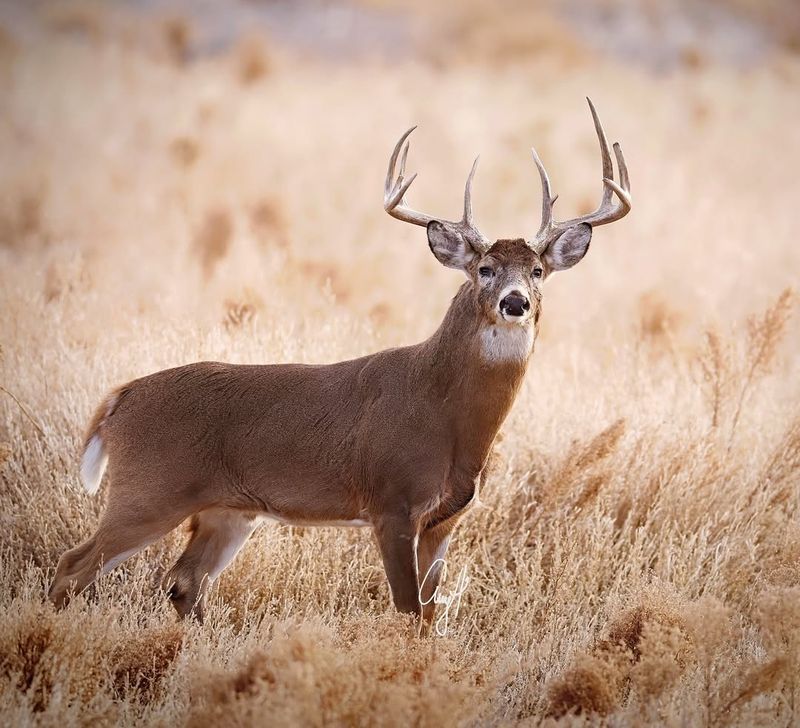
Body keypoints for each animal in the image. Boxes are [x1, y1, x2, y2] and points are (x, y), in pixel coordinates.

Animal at [48, 99, 632, 628]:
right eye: (485, 268)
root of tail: (119, 398)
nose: (516, 302)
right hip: (150, 488)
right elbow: (408, 610)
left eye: (537, 270)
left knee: (184, 583)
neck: (448, 417)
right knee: (73, 567)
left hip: (228, 511)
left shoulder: (445, 519)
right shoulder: (392, 501)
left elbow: (430, 615)